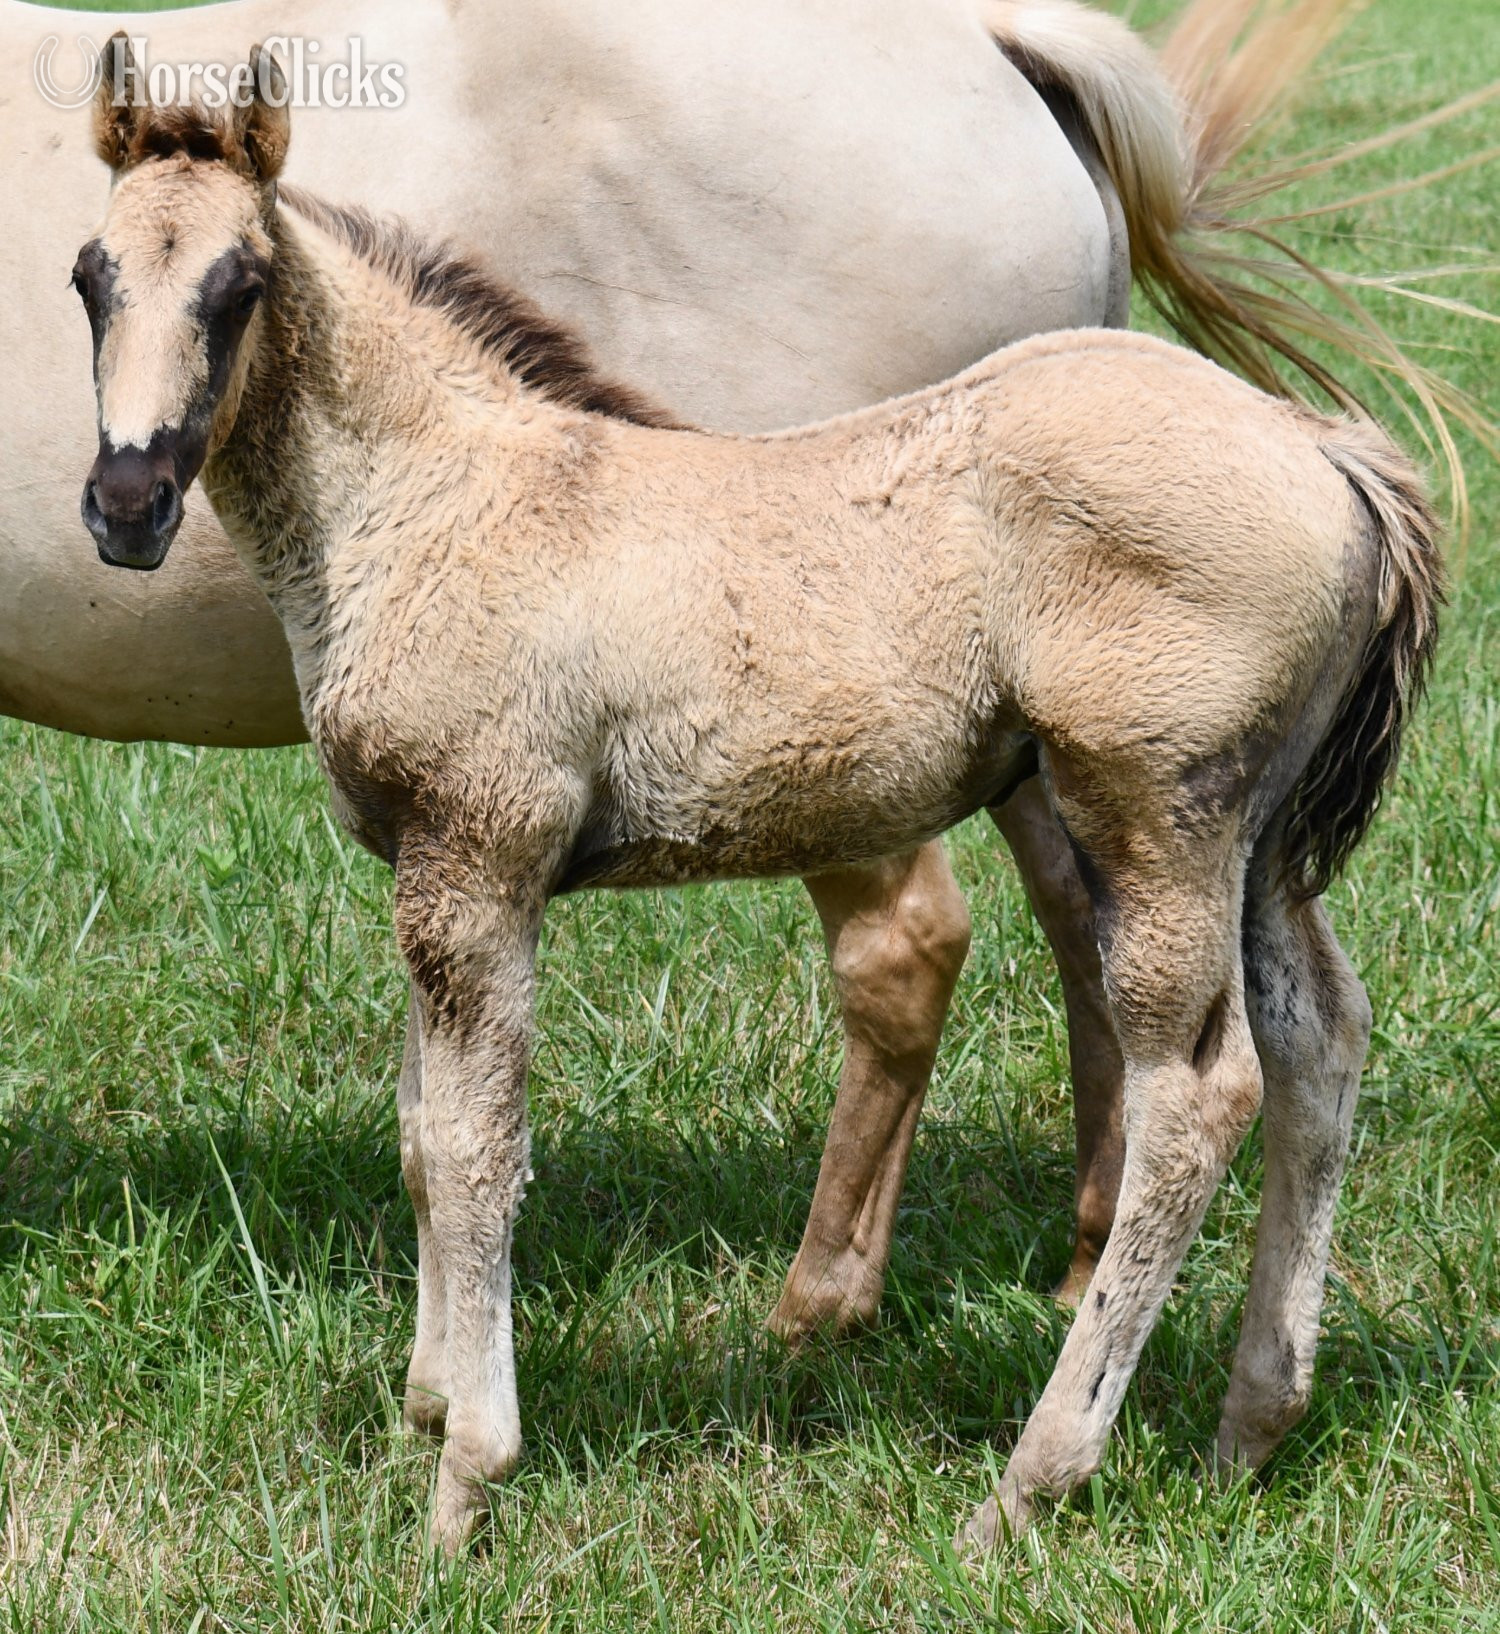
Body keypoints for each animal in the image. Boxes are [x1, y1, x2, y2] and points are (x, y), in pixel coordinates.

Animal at [72, 47, 1442, 1555]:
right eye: (89, 276)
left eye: (237, 284)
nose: (126, 501)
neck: (439, 501)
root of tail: (1324, 452)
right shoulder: (427, 867)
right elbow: (425, 1142)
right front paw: (424, 1411)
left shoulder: (480, 857)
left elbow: (478, 1147)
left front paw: (463, 1486)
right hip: (1255, 842)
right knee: (1321, 1038)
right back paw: (1250, 1428)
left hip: (1153, 813)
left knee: (1197, 1093)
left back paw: (1033, 1478)